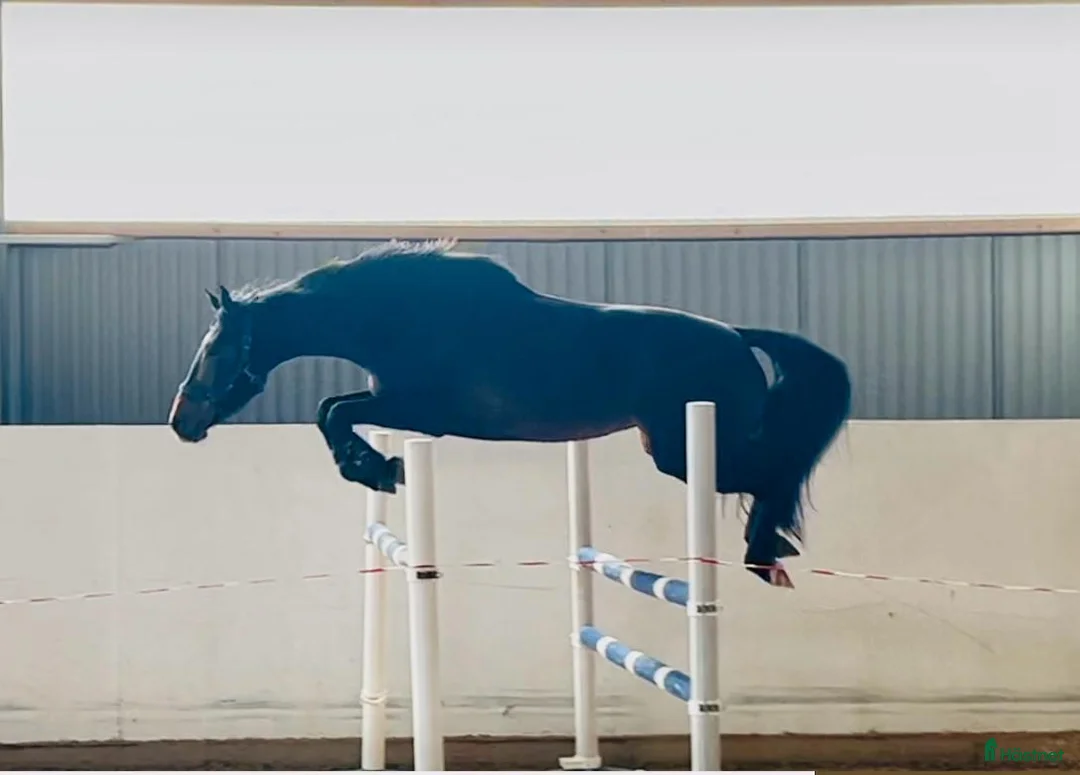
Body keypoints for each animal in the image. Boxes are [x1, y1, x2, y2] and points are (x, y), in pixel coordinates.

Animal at [168, 238, 852, 588]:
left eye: (218, 350)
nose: (182, 421)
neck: (396, 316)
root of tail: (737, 336)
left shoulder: (423, 409)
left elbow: (330, 411)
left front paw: (378, 468)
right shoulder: (401, 403)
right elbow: (332, 410)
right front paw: (376, 467)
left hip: (686, 452)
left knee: (774, 473)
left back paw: (764, 552)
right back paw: (771, 547)